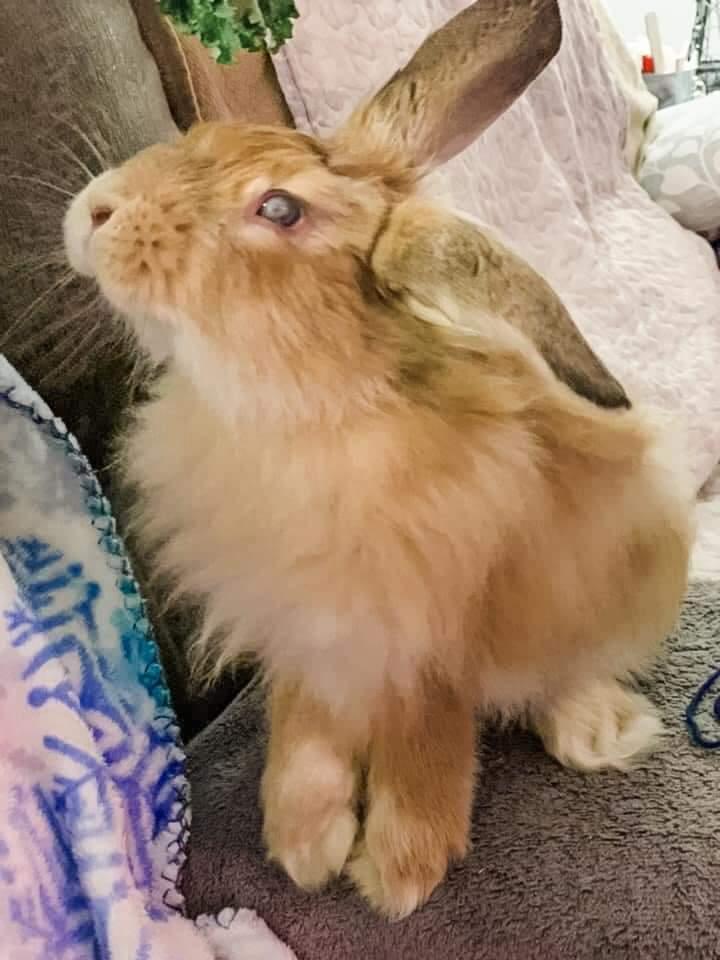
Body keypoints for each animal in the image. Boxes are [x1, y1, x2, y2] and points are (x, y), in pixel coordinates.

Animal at [63, 0, 693, 919]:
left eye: (280, 208)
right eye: (205, 135)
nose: (94, 211)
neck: (297, 410)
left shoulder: (428, 651)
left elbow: (425, 745)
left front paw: (398, 870)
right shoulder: (309, 641)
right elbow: (306, 734)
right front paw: (302, 843)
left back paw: (594, 731)